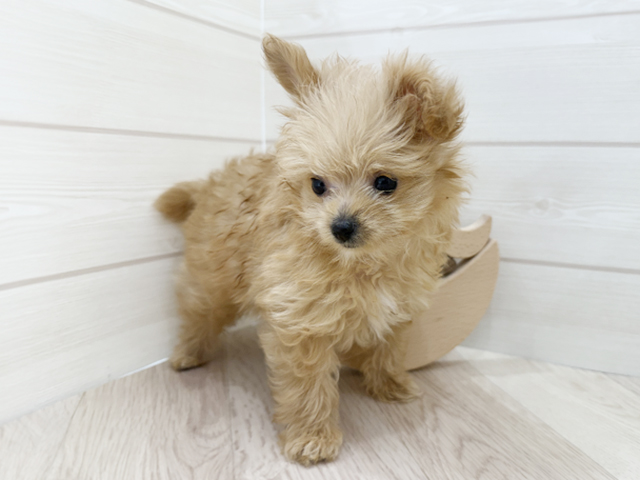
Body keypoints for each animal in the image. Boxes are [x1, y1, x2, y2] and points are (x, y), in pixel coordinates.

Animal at [155, 34, 467, 466]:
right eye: (318, 185)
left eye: (385, 182)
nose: (340, 227)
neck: (363, 263)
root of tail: (210, 183)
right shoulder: (300, 319)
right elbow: (308, 385)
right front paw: (313, 437)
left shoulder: (398, 307)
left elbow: (388, 348)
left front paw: (389, 383)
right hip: (212, 276)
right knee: (197, 310)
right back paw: (188, 352)